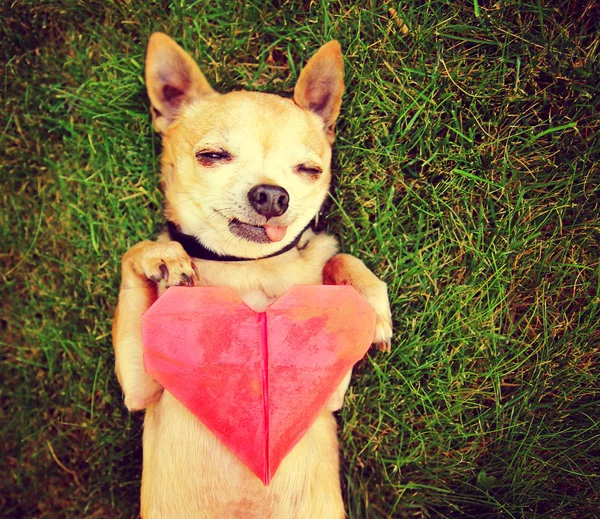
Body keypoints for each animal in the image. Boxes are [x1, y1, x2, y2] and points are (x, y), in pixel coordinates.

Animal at [112, 33, 394, 519]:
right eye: (212, 156)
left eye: (309, 170)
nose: (272, 195)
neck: (248, 267)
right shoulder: (139, 389)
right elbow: (135, 252)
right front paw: (163, 256)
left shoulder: (329, 393)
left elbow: (338, 259)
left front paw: (372, 303)